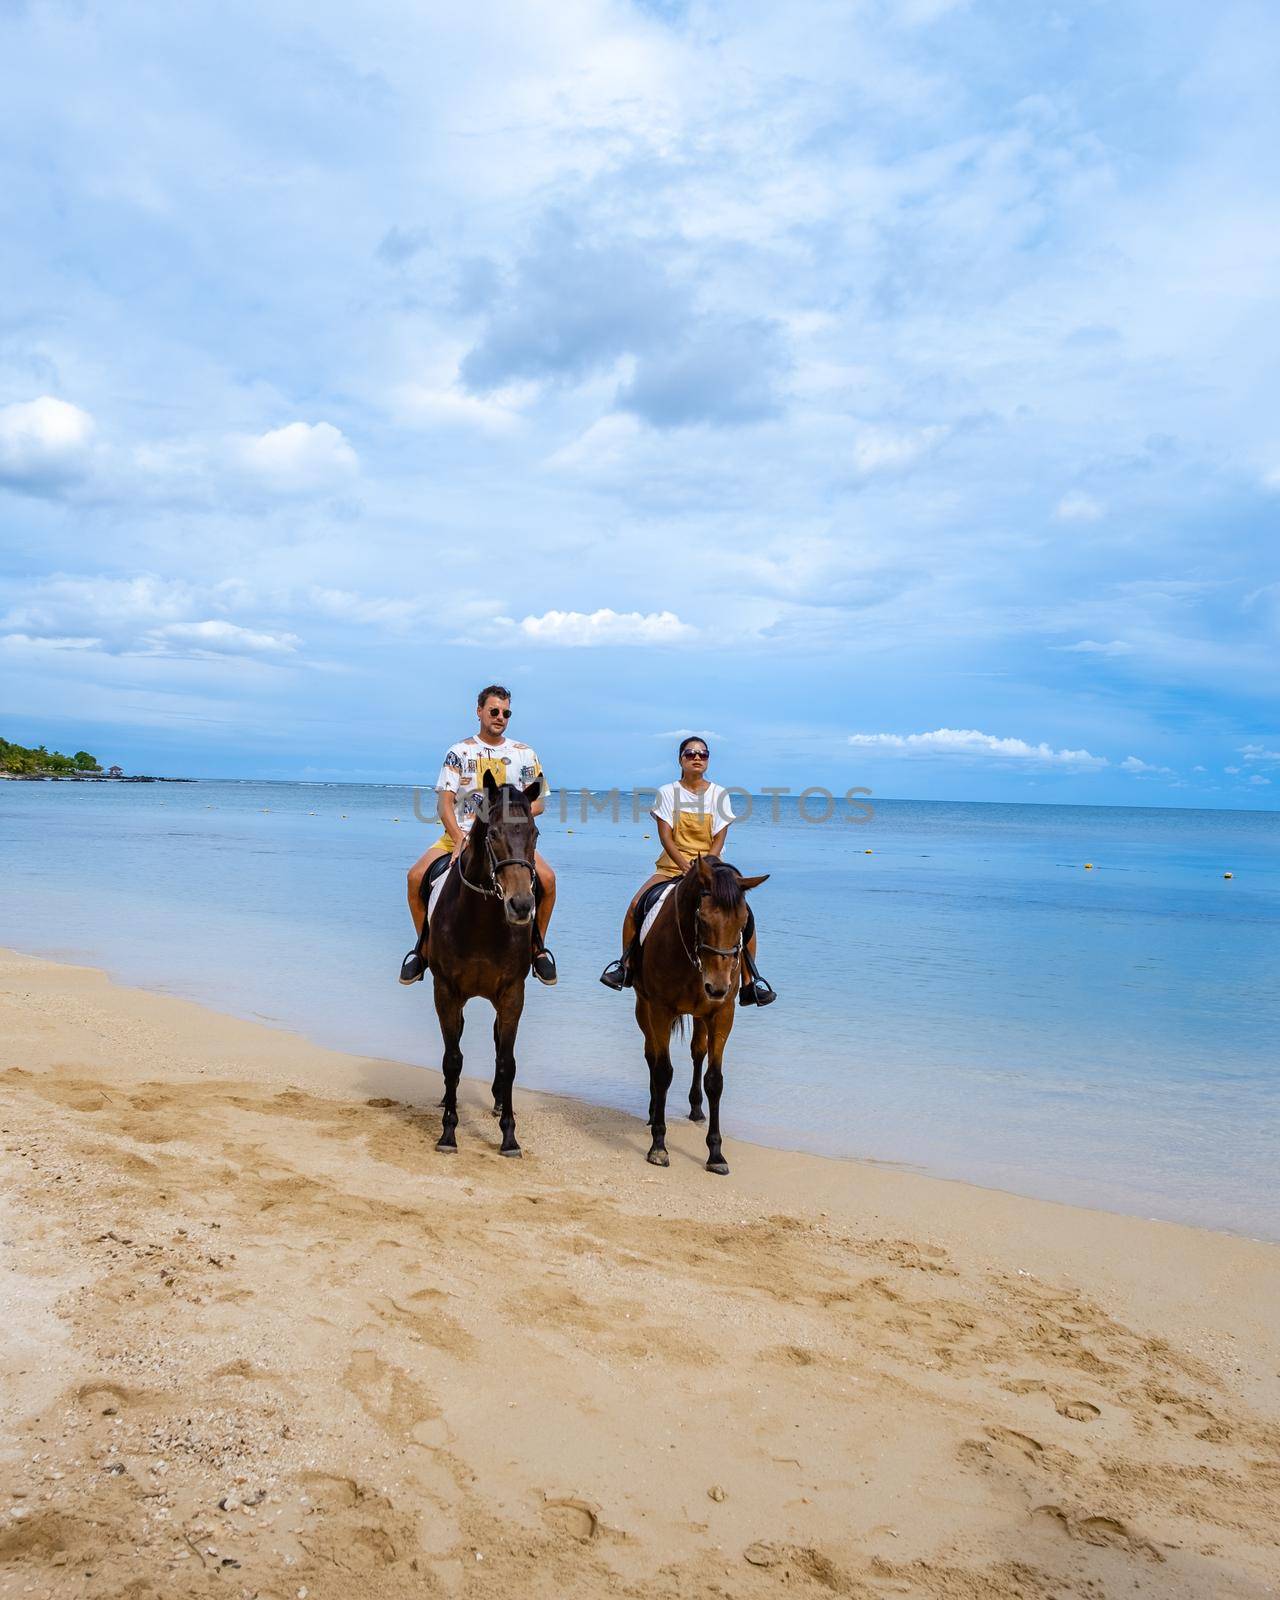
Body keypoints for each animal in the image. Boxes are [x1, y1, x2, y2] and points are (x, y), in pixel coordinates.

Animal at [422, 771, 537, 1158]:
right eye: (494, 834)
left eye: (535, 834)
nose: (521, 905)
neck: (481, 922)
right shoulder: (446, 991)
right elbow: (453, 1058)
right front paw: (448, 1132)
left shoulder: (512, 994)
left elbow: (507, 1062)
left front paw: (509, 1136)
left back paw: (499, 1102)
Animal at [627, 851, 764, 1177]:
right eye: (702, 919)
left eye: (744, 922)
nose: (717, 986)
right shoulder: (660, 1009)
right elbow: (662, 1071)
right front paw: (658, 1147)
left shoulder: (722, 1014)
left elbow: (714, 1080)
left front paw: (716, 1153)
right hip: (643, 1007)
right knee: (651, 1054)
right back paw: (653, 1110)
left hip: (702, 1015)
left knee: (697, 1051)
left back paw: (696, 1109)